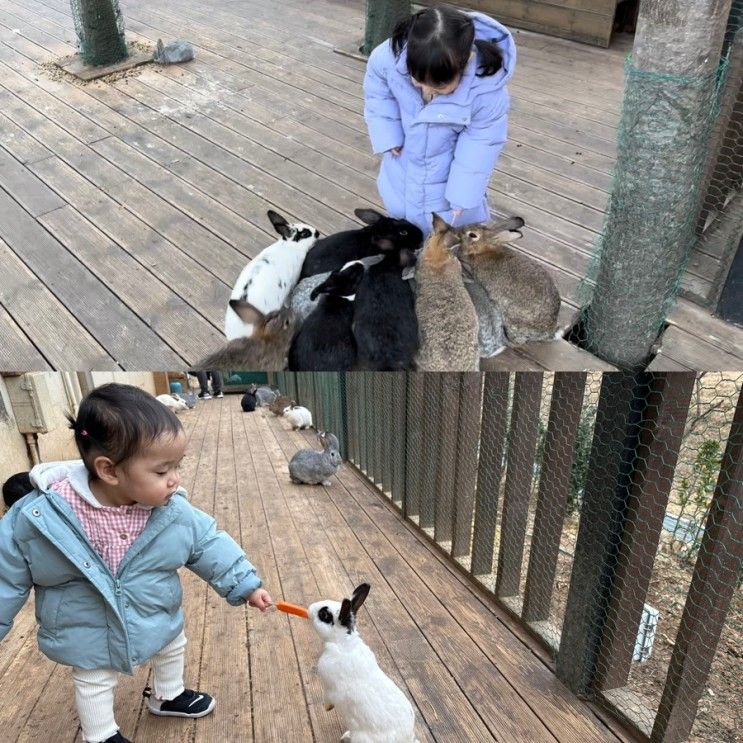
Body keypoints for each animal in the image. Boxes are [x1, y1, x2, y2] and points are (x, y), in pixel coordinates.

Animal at [456, 218, 560, 348]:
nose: (459, 230)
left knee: (519, 342)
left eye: (472, 235)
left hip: (513, 322)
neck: (482, 251)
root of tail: (549, 331)